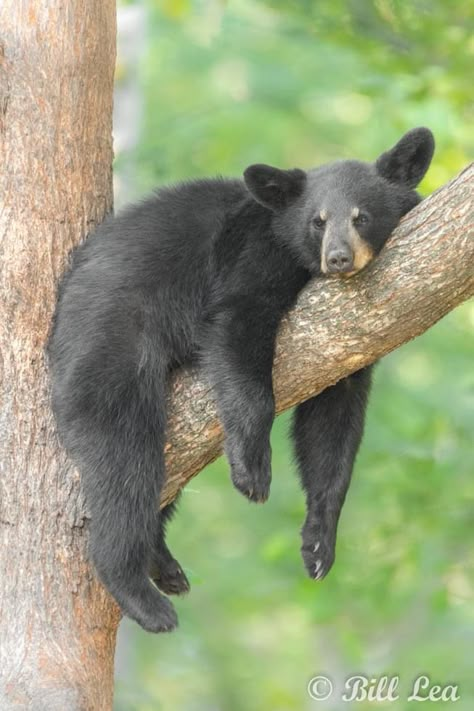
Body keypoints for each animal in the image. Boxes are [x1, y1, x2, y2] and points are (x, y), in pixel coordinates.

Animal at [47, 128, 434, 636]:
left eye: (361, 216)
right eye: (317, 221)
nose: (338, 258)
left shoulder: (349, 341)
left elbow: (332, 426)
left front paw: (318, 542)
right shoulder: (251, 257)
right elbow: (238, 329)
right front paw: (253, 471)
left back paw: (164, 564)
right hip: (109, 356)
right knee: (125, 464)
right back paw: (144, 597)